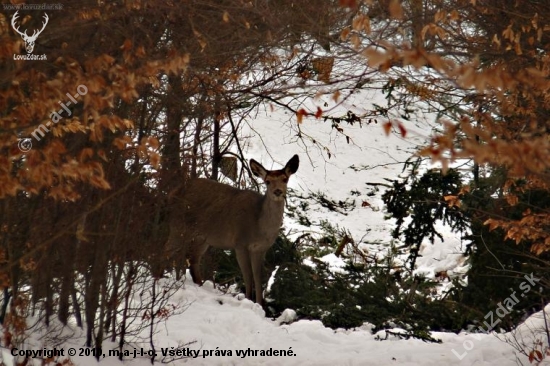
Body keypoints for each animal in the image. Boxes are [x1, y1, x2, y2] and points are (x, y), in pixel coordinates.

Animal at [168, 155, 300, 306]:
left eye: (285, 179)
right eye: (267, 181)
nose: (277, 191)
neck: (260, 227)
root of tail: (173, 193)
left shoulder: (261, 249)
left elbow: (258, 277)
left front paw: (260, 305)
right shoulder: (240, 243)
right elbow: (247, 276)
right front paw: (249, 300)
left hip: (202, 238)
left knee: (192, 259)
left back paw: (198, 284)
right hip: (178, 224)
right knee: (168, 251)